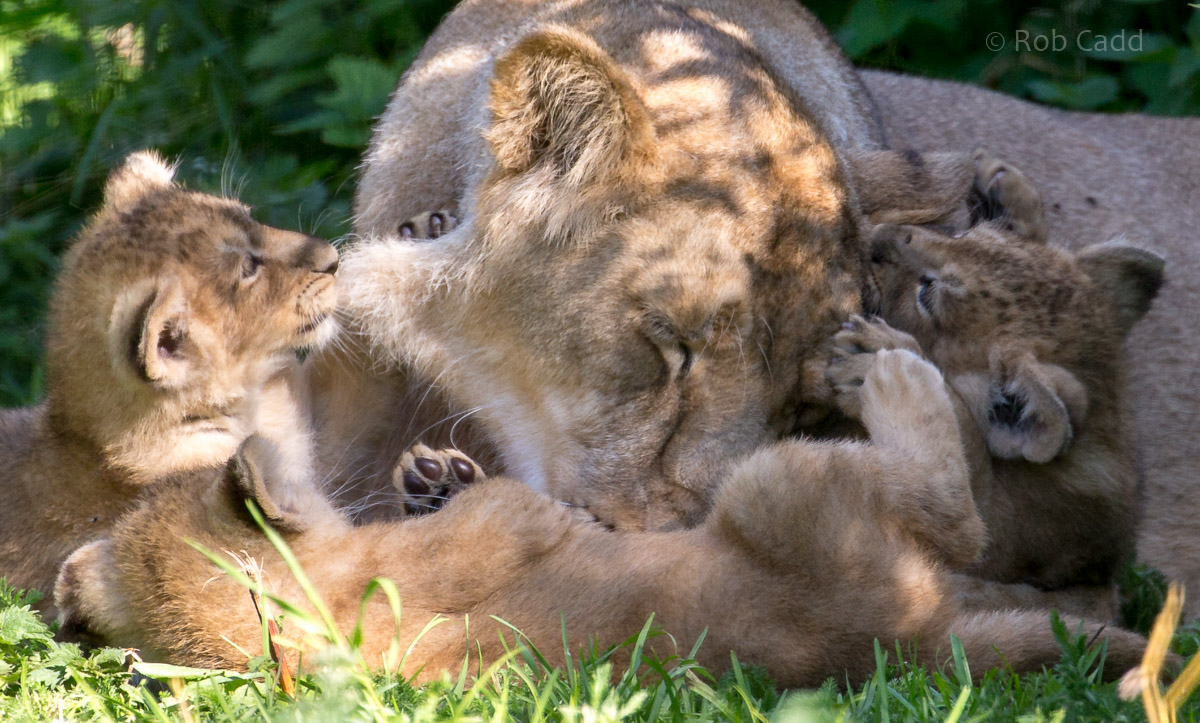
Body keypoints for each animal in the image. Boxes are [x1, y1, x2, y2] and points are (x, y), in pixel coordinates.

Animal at [55, 347, 1149, 686]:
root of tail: (917, 644)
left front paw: (431, 472)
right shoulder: (522, 512)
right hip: (788, 484)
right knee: (953, 513)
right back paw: (896, 376)